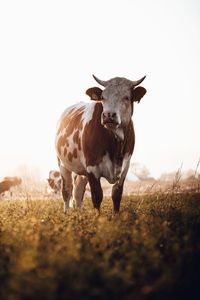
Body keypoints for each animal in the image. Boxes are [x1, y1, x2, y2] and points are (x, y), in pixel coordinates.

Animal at [55, 75, 146, 213]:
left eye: (126, 97)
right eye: (103, 97)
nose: (108, 115)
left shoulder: (124, 167)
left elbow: (116, 195)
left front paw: (116, 216)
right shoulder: (92, 168)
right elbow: (97, 196)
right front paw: (97, 217)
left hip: (82, 171)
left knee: (78, 192)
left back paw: (79, 214)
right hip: (63, 164)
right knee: (67, 190)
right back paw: (67, 213)